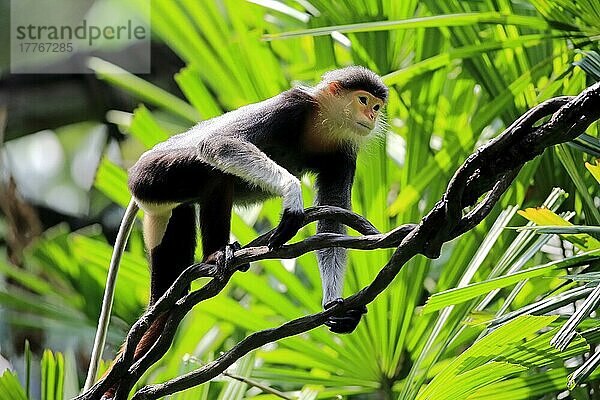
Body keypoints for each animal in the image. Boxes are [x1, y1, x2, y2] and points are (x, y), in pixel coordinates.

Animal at [85, 65, 390, 394]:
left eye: (376, 106)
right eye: (363, 100)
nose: (371, 117)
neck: (322, 124)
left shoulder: (342, 155)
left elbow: (331, 228)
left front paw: (335, 305)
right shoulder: (291, 106)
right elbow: (218, 143)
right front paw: (292, 193)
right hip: (152, 177)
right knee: (213, 171)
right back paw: (214, 255)